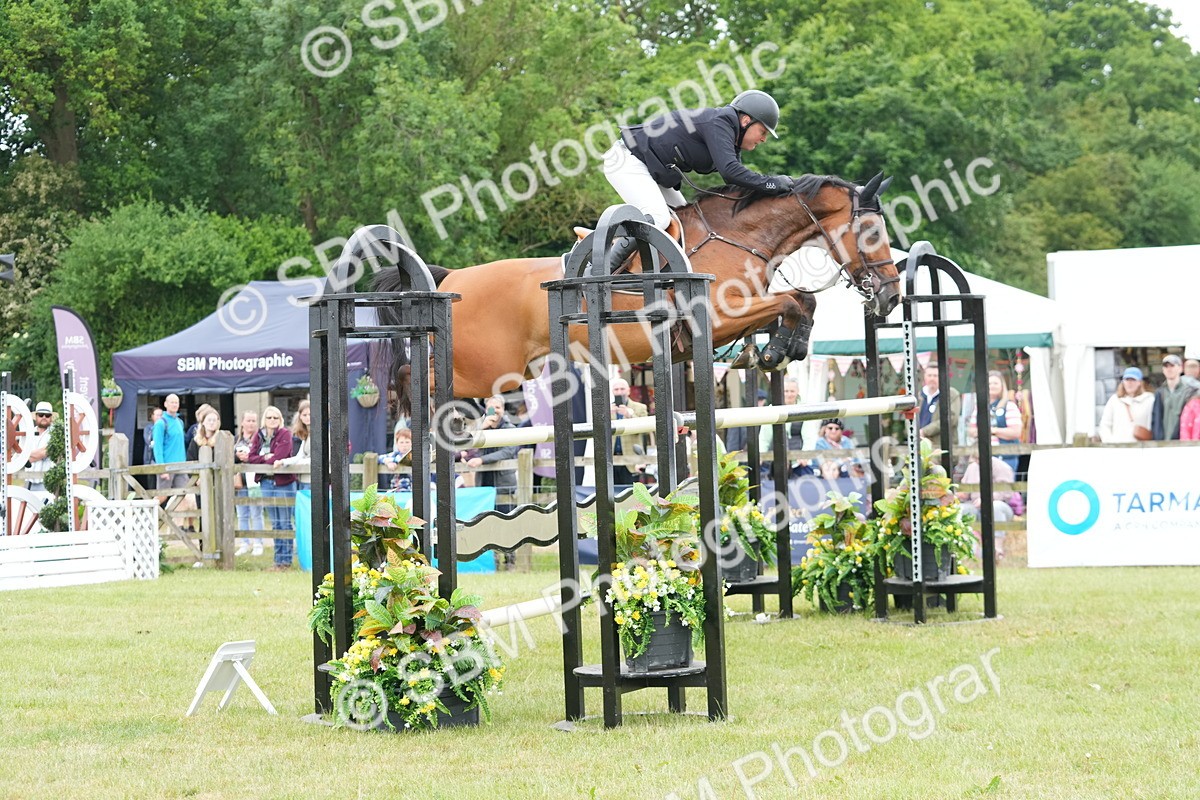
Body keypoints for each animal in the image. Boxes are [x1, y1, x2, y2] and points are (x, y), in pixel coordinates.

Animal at [375, 172, 900, 409]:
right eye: (871, 231)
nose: (892, 295)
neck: (738, 235)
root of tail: (454, 278)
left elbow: (801, 300)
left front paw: (782, 348)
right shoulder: (721, 316)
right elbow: (790, 299)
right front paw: (777, 349)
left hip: (507, 370)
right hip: (488, 370)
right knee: (412, 375)